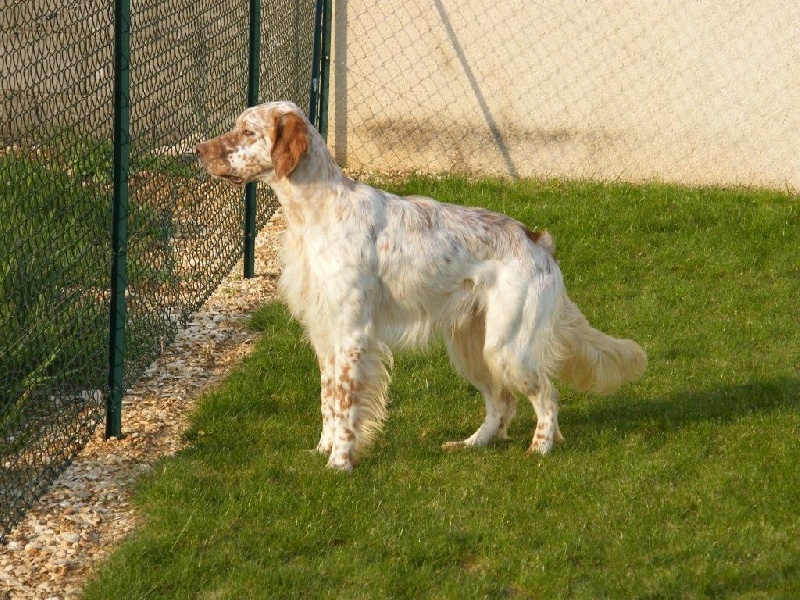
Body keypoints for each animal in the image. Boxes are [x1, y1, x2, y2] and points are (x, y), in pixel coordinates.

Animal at [197, 101, 648, 472]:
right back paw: (471, 444)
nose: (198, 150)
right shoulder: (325, 336)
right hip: (471, 348)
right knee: (502, 402)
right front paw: (322, 450)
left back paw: (539, 449)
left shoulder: (352, 335)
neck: (315, 215)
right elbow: (328, 401)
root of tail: (538, 240)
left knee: (547, 397)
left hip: (508, 348)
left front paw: (340, 462)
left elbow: (345, 405)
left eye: (247, 132)